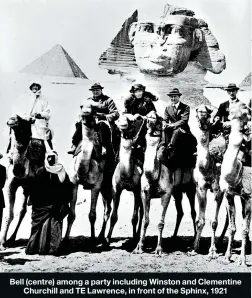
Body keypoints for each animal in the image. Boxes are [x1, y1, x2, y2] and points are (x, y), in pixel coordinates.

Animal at [0, 115, 44, 248]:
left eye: (27, 121)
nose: (12, 119)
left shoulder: (30, 186)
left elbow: (22, 211)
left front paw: (5, 241)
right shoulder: (9, 185)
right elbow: (8, 214)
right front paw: (2, 241)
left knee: (25, 211)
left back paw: (14, 238)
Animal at [67, 102, 114, 244]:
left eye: (93, 109)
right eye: (82, 106)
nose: (86, 113)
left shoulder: (96, 185)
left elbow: (92, 215)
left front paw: (92, 240)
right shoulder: (74, 183)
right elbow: (71, 215)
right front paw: (64, 240)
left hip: (107, 184)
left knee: (108, 209)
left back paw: (102, 237)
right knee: (107, 208)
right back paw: (101, 236)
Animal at [105, 114, 144, 244]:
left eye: (132, 120)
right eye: (118, 119)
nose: (123, 124)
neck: (126, 174)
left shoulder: (137, 190)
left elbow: (134, 217)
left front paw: (134, 237)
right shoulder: (116, 190)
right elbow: (113, 216)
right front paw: (107, 238)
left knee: (142, 212)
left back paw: (138, 235)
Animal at [133, 110, 196, 255]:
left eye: (158, 118)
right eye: (148, 117)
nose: (151, 118)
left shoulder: (166, 194)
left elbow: (160, 223)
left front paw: (159, 249)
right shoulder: (144, 193)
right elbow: (145, 220)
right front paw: (139, 247)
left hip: (191, 188)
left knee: (193, 213)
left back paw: (194, 243)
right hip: (177, 191)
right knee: (180, 212)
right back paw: (173, 238)